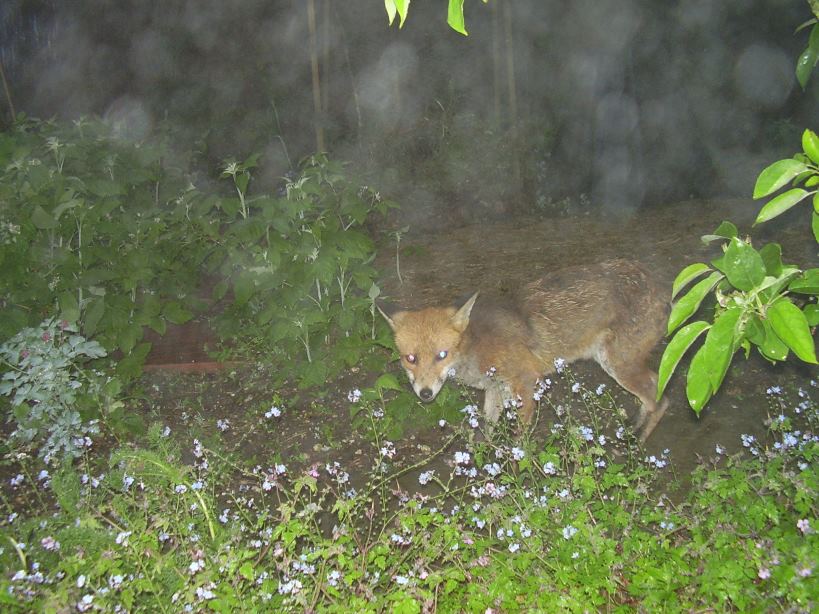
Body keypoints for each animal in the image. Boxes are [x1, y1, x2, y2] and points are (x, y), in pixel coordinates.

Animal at [378, 259, 669, 442]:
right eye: (411, 358)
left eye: (442, 355)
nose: (425, 394)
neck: (475, 347)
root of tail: (660, 283)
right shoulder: (495, 389)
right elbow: (486, 432)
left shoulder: (527, 382)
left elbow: (521, 442)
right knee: (654, 389)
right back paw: (634, 427)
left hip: (618, 365)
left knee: (661, 399)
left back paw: (640, 441)